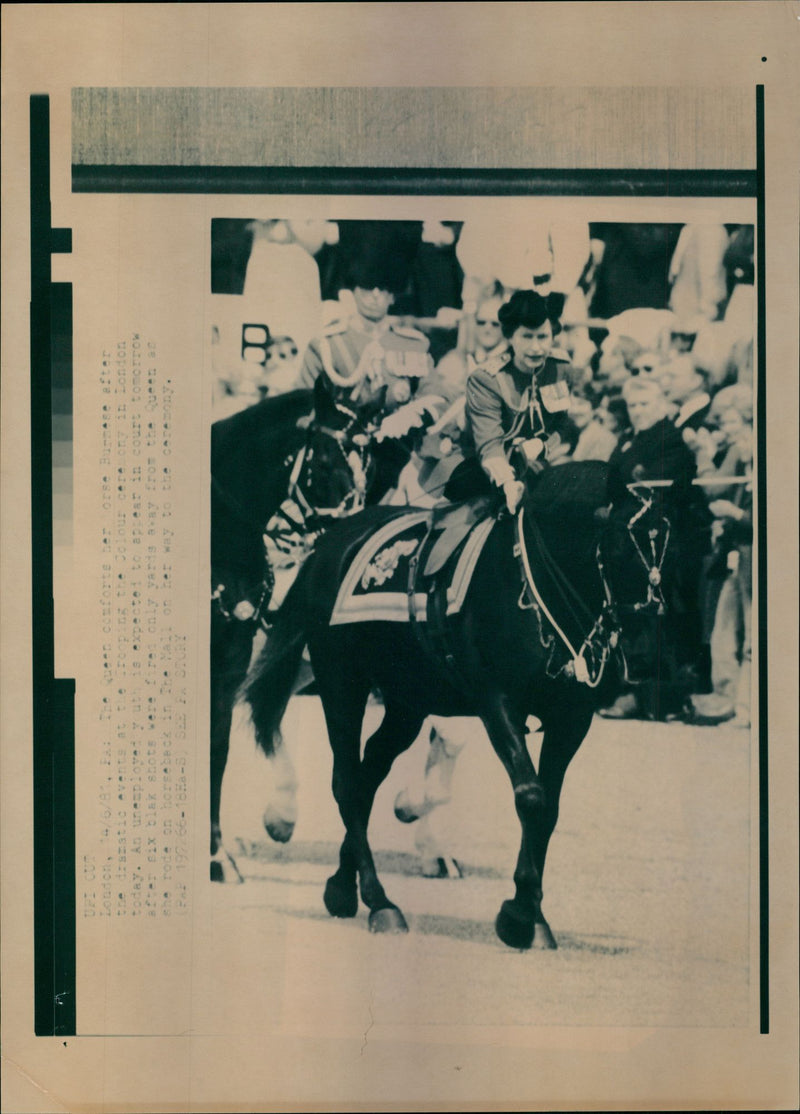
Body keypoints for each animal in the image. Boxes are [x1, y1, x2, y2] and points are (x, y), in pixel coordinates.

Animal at [209, 378, 385, 882]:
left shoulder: (229, 666)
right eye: (324, 461)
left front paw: (218, 855)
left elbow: (218, 751)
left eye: (369, 465)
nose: (355, 534)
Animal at [242, 461, 677, 949]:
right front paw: (519, 914)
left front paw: (531, 913)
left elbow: (548, 809)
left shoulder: (571, 719)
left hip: (406, 704)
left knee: (368, 774)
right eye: (621, 542)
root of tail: (330, 544)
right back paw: (377, 899)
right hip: (342, 686)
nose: (647, 647)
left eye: (667, 542)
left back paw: (342, 885)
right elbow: (531, 797)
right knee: (346, 782)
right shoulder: (497, 703)